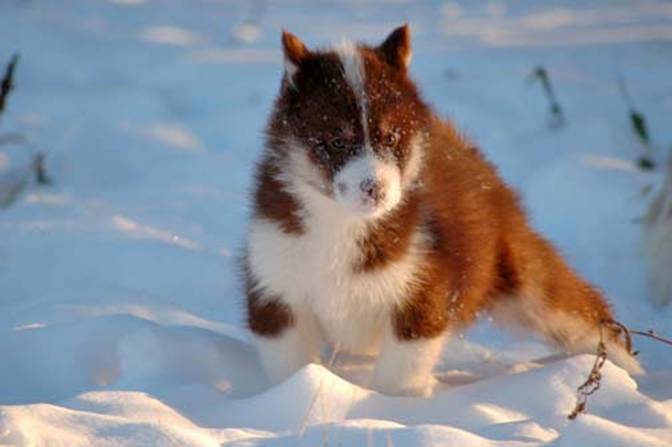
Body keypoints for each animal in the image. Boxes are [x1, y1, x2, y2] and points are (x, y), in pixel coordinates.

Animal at [244, 25, 644, 396]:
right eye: (337, 141)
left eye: (391, 137)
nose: (377, 189)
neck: (343, 223)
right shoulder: (275, 285)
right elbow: (290, 362)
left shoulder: (424, 291)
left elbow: (400, 373)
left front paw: (389, 409)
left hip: (522, 271)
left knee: (577, 309)